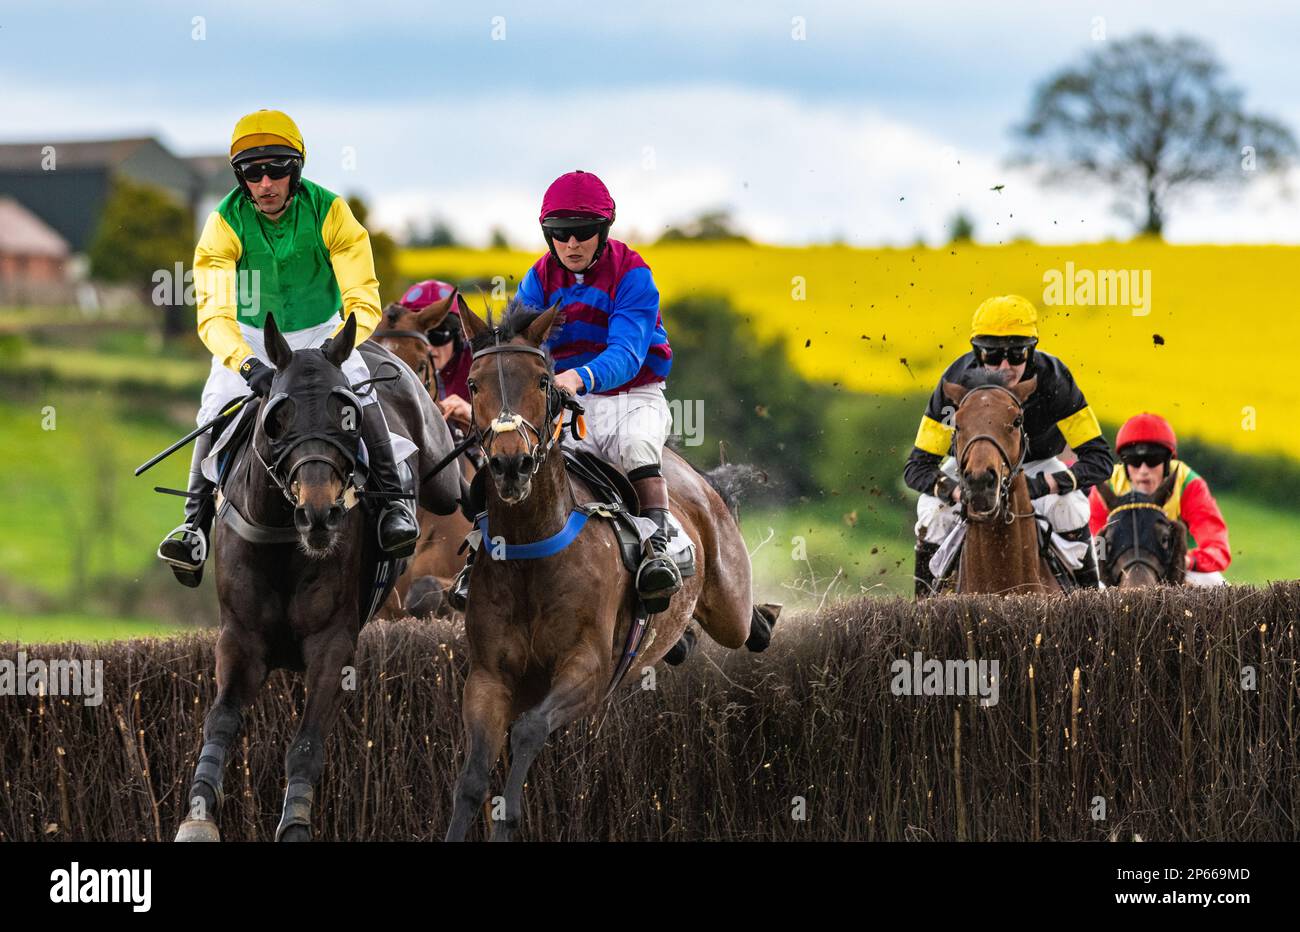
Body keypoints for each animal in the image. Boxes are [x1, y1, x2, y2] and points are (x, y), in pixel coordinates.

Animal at [441, 301, 774, 842]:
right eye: (473, 383)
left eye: (543, 381)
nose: (511, 466)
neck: (531, 549)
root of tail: (695, 475)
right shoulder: (488, 678)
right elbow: (470, 781)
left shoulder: (588, 669)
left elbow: (528, 730)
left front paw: (509, 817)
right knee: (689, 637)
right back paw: (680, 640)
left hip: (729, 604)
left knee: (751, 624)